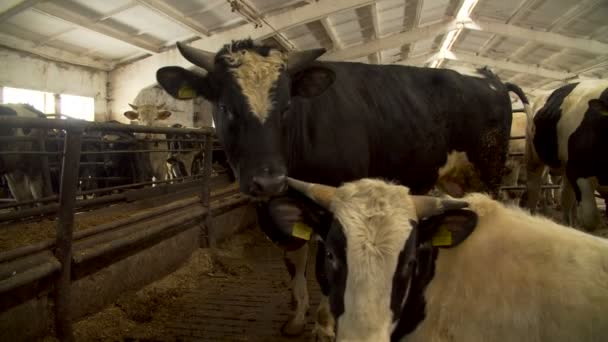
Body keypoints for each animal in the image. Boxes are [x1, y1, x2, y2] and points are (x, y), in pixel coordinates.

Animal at [156, 38, 528, 338]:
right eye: (224, 107)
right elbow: (295, 263)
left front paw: (324, 325)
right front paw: (297, 318)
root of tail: (489, 77)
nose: (268, 180)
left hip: (489, 170)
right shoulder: (276, 210)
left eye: (287, 106)